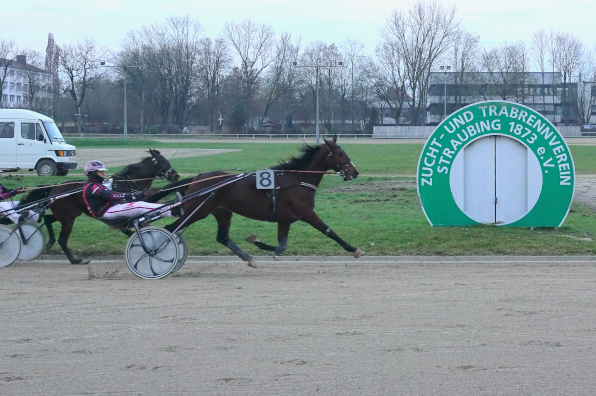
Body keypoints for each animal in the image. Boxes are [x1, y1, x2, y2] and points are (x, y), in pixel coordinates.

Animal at [20, 148, 189, 262]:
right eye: (162, 162)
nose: (176, 175)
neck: (127, 185)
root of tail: (54, 188)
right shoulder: (124, 216)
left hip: (69, 214)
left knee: (48, 218)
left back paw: (50, 243)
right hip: (68, 218)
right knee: (62, 239)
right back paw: (75, 260)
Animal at [165, 136, 366, 270]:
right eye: (340, 153)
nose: (354, 172)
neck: (298, 179)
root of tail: (196, 178)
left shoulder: (285, 219)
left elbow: (281, 245)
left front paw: (257, 242)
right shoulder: (306, 213)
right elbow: (328, 231)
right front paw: (354, 249)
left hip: (222, 211)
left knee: (222, 237)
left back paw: (249, 258)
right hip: (197, 211)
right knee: (169, 229)